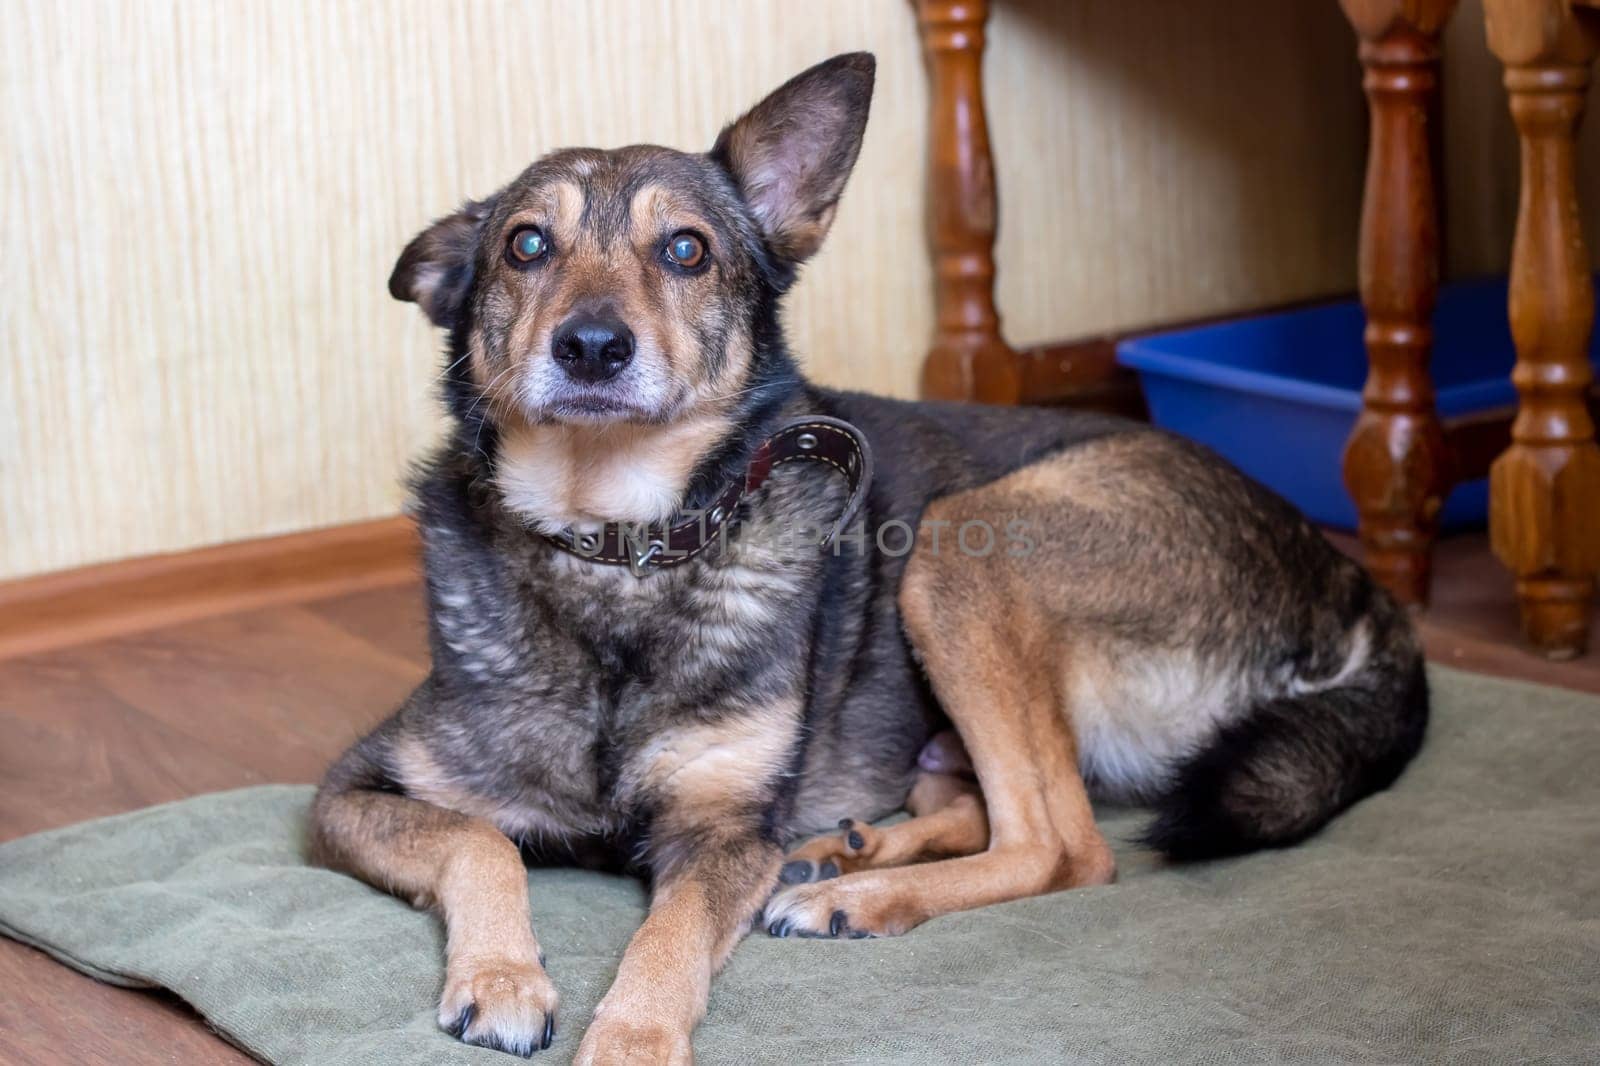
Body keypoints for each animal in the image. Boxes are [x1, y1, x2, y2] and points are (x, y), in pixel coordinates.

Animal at [312, 52, 1427, 1062]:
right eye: (526, 245)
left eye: (686, 250)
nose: (591, 346)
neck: (617, 547)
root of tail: (1347, 580)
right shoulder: (354, 790)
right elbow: (479, 837)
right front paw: (504, 975)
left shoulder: (722, 832)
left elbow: (666, 942)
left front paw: (627, 1040)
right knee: (983, 806)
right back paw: (847, 851)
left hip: (960, 547)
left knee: (1063, 846)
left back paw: (861, 894)